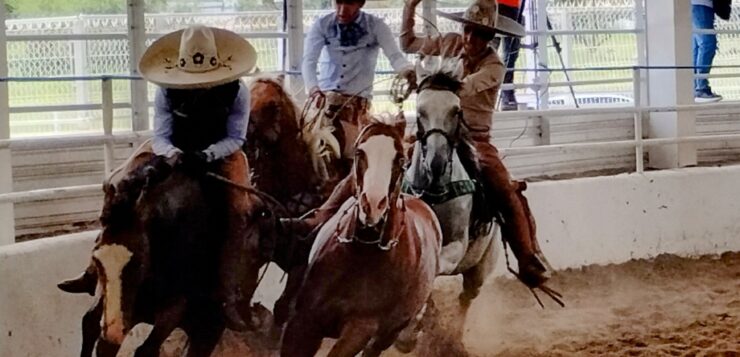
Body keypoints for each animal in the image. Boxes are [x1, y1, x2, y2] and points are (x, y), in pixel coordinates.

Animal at [282, 119, 446, 356]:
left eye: (401, 159)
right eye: (360, 152)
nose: (373, 204)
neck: (361, 255)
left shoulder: (360, 329)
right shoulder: (304, 318)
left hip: (391, 332)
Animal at [398, 57, 502, 352]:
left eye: (456, 110)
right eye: (420, 110)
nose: (436, 163)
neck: (434, 192)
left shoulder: (456, 245)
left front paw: (409, 332)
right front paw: (410, 331)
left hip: (480, 268)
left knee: (465, 298)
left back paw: (452, 340)